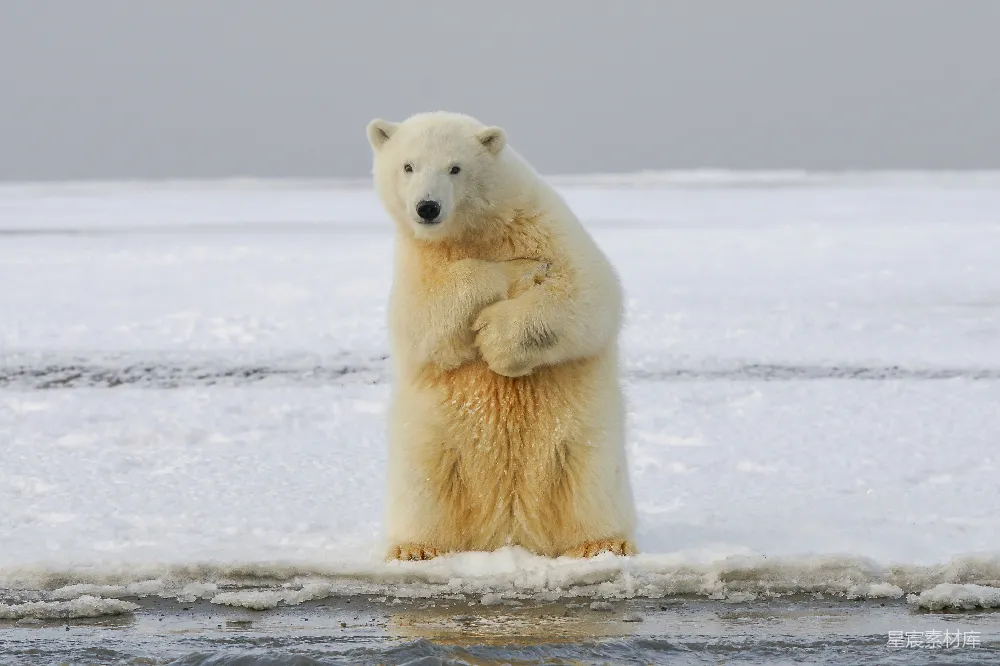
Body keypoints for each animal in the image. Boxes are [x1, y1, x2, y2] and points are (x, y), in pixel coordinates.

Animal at [366, 111, 637, 561]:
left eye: (455, 168)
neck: (478, 230)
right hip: (432, 442)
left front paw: (497, 337)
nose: (427, 207)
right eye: (408, 166)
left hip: (582, 439)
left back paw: (601, 544)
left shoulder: (546, 226)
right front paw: (514, 272)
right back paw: (415, 548)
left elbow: (588, 293)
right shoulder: (417, 262)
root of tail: (510, 531)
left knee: (588, 479)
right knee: (425, 486)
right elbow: (424, 319)